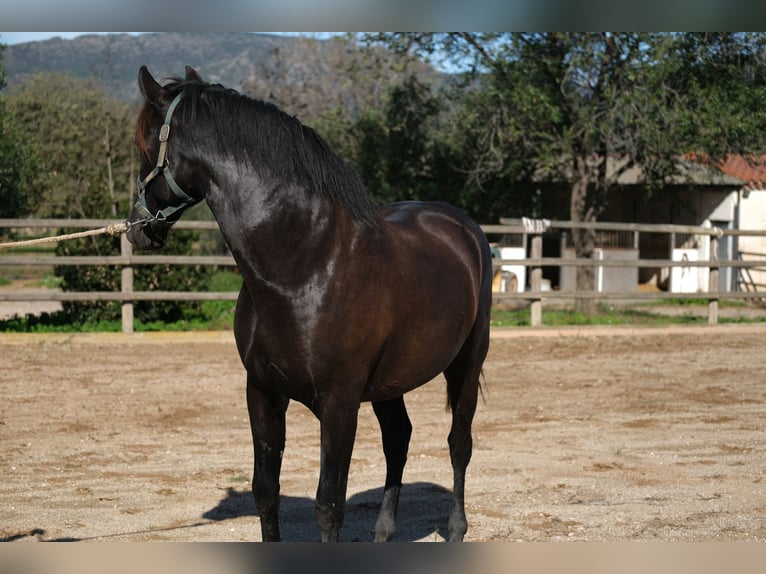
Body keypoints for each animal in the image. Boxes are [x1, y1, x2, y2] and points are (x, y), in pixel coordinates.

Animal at [126, 67, 496, 544]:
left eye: (145, 146)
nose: (137, 228)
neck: (305, 264)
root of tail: (462, 226)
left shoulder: (338, 405)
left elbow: (329, 505)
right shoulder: (262, 392)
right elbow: (266, 491)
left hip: (466, 363)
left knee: (458, 444)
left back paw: (455, 529)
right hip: (389, 384)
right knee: (398, 439)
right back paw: (384, 533)